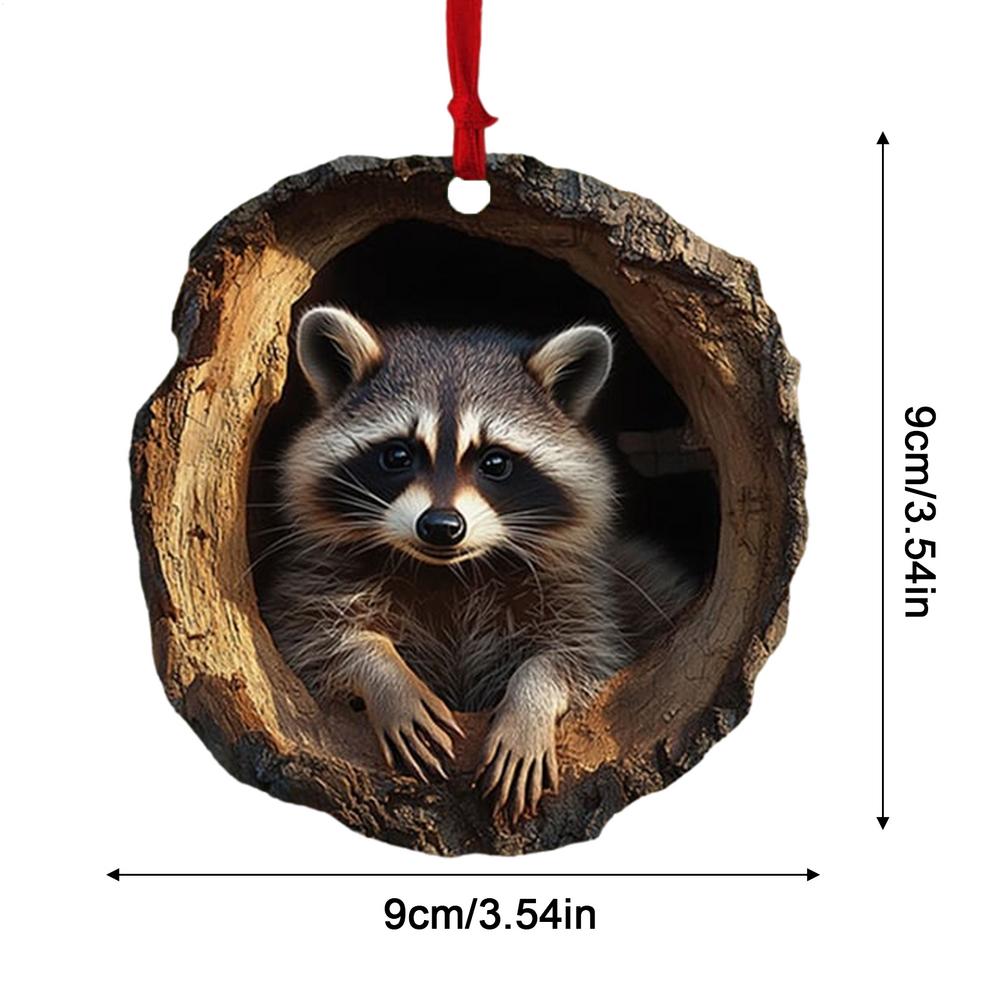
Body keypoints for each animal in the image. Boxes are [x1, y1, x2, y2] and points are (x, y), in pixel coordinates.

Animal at [258, 306, 697, 820]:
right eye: (398, 455)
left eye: (495, 462)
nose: (441, 526)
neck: (450, 570)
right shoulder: (318, 576)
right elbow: (311, 635)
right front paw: (384, 674)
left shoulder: (579, 589)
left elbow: (583, 655)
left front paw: (530, 702)